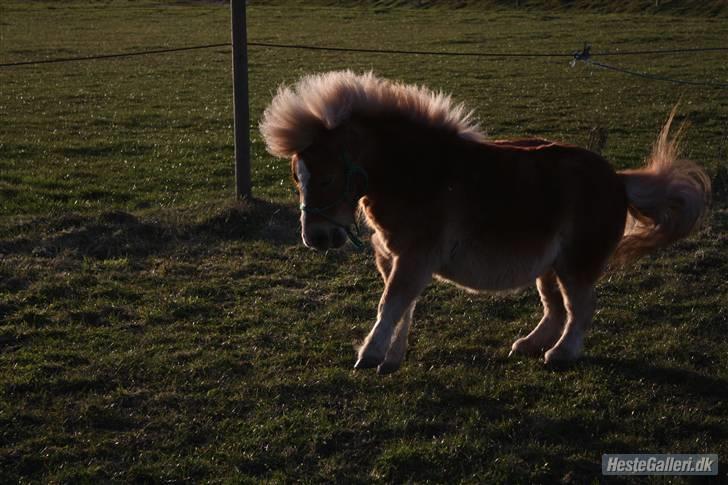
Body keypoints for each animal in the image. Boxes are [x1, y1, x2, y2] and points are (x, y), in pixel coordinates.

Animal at [260, 70, 711, 374]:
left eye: (327, 178)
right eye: (296, 176)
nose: (316, 238)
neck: (418, 175)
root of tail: (618, 180)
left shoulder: (415, 257)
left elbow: (391, 304)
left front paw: (370, 355)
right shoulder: (396, 258)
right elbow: (404, 306)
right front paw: (392, 358)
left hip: (575, 264)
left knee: (580, 308)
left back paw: (561, 355)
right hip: (548, 266)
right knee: (555, 310)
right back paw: (529, 345)